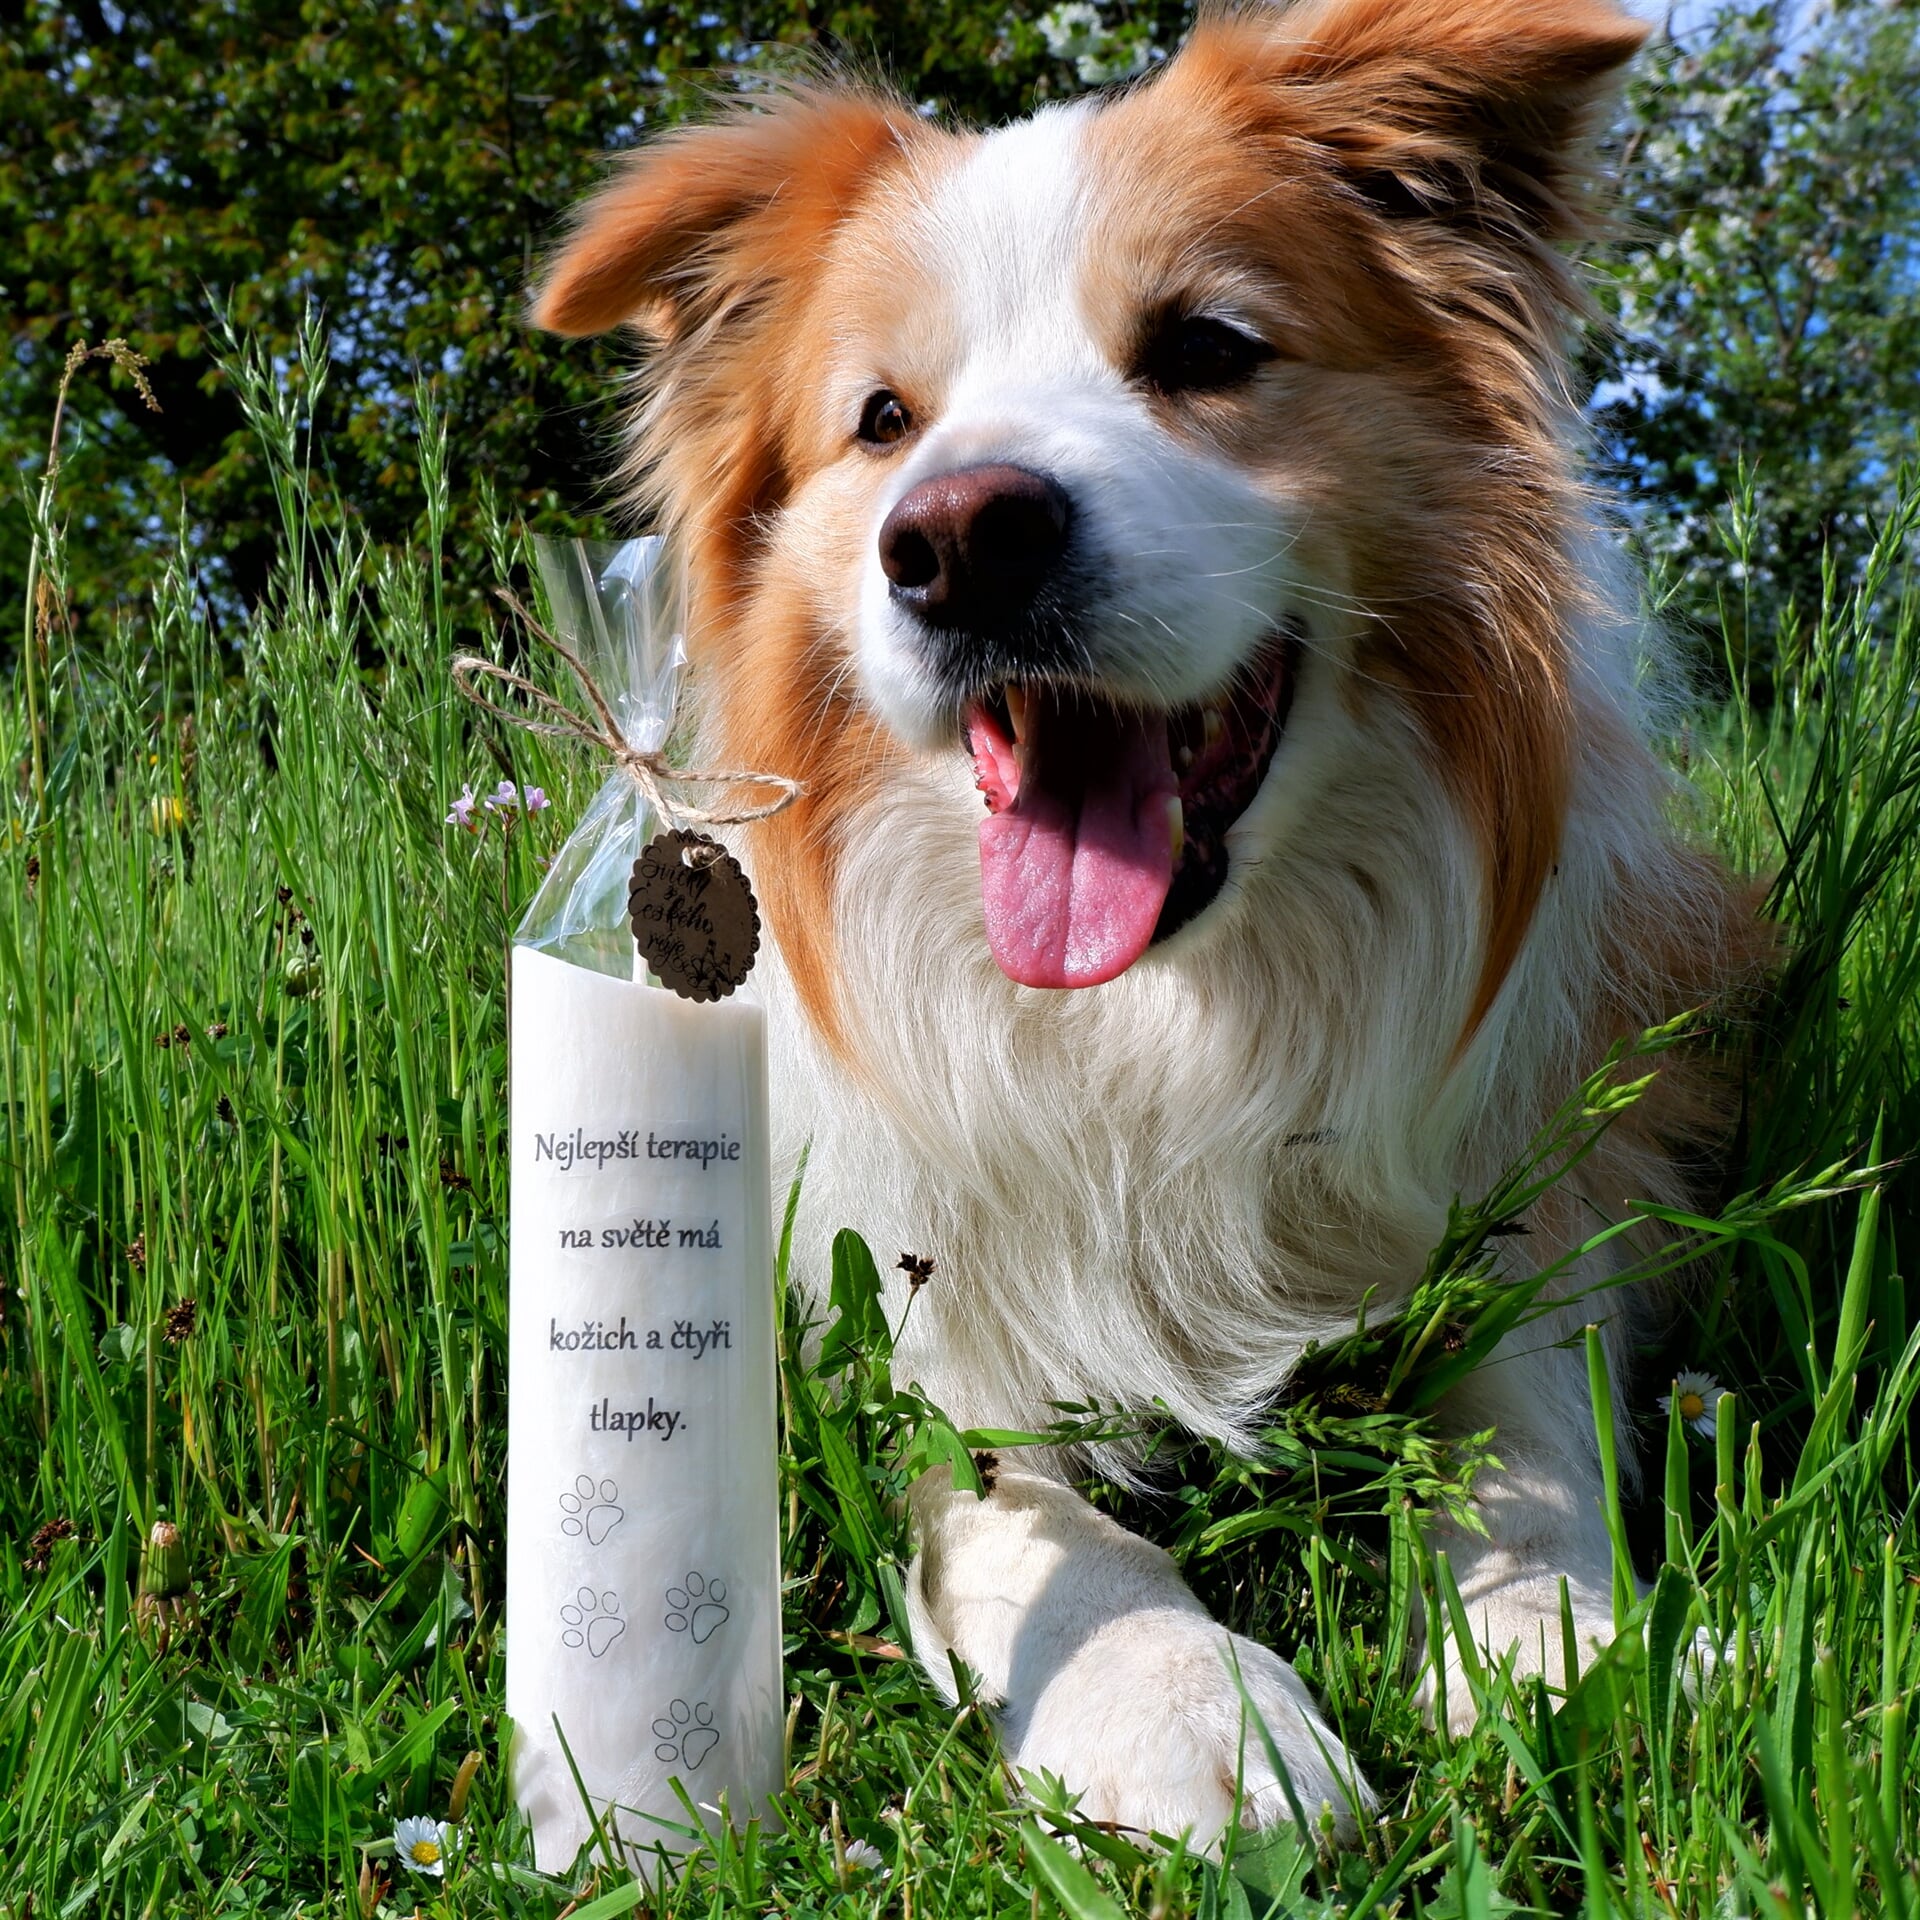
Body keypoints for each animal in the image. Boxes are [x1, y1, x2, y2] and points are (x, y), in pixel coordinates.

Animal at [529, 0, 1767, 1845]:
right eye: (882, 419)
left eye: (1206, 346)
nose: (957, 541)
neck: (1166, 1017)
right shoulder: (903, 1292)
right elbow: (1023, 1506)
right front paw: (1184, 1700)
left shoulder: (1541, 1177)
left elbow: (1527, 1421)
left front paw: (1565, 1635)